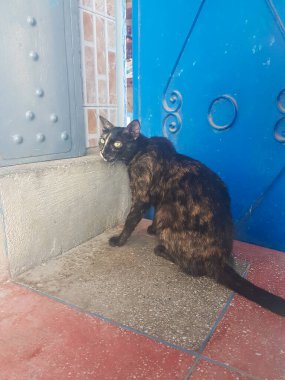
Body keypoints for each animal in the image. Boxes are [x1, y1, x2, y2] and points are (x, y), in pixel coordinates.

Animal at [98, 116, 284, 318]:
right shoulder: (158, 199)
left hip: (168, 216)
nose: (102, 152)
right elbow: (153, 213)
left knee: (192, 269)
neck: (139, 151)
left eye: (117, 144)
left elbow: (130, 220)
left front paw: (119, 240)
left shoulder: (142, 197)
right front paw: (152, 229)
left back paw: (161, 250)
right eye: (102, 140)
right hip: (166, 210)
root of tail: (218, 259)